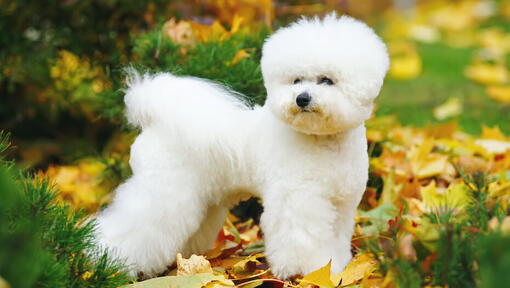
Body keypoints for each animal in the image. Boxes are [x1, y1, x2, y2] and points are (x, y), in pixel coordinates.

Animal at [95, 14, 388, 280]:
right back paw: (109, 264)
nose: (302, 99)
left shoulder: (342, 205)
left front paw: (336, 268)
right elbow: (303, 239)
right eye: (296, 80)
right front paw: (311, 271)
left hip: (200, 199)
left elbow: (336, 238)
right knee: (132, 229)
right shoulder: (299, 201)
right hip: (163, 191)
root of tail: (153, 120)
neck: (322, 140)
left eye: (326, 80)